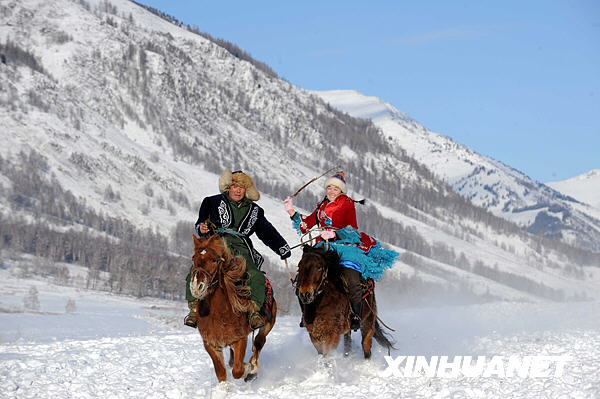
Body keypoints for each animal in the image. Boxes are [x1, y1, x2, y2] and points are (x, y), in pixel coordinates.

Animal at [191, 234, 278, 384]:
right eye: (194, 259)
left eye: (214, 260)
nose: (197, 286)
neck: (219, 313)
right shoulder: (210, 344)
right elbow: (221, 373)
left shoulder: (240, 339)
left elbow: (238, 370)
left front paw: (248, 369)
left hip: (268, 323)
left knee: (259, 342)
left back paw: (253, 368)